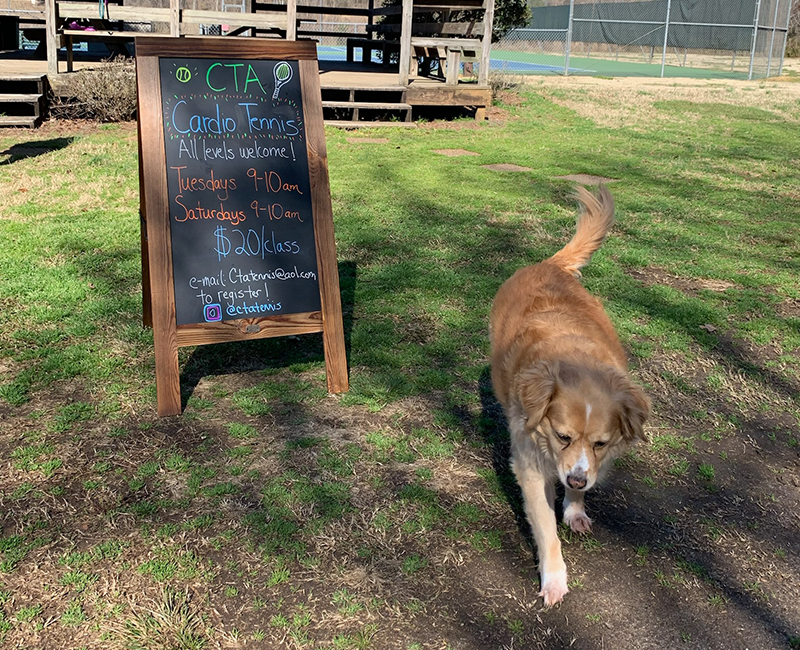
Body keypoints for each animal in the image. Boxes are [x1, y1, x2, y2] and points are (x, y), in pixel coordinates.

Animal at [488, 185, 648, 604]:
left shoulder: (599, 457)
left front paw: (575, 509)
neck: (574, 356)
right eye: (562, 436)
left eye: (600, 442)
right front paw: (554, 578)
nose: (574, 482)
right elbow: (546, 531)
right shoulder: (530, 465)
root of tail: (549, 264)